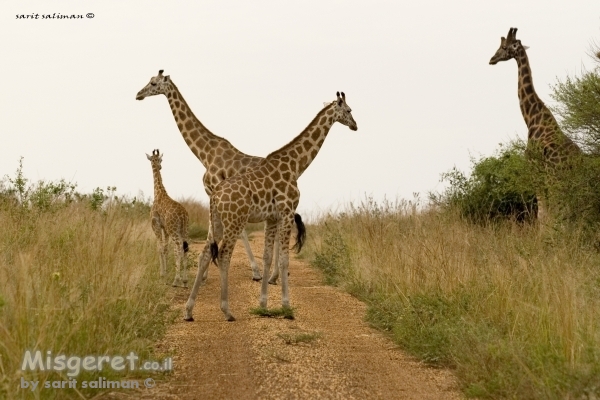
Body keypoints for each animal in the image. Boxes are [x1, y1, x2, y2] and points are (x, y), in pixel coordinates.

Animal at [147, 148, 190, 286]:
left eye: (160, 160)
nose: (160, 166)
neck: (158, 193)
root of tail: (183, 215)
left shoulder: (155, 225)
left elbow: (160, 248)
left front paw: (161, 274)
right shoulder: (165, 228)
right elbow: (165, 248)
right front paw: (165, 272)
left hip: (174, 231)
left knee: (178, 248)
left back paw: (177, 280)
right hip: (185, 230)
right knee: (185, 248)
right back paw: (184, 279)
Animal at [185, 91, 358, 322]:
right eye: (348, 110)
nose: (355, 125)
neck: (295, 165)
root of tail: (215, 196)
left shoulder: (272, 217)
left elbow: (268, 256)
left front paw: (264, 305)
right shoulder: (287, 212)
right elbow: (284, 259)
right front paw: (286, 306)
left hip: (217, 222)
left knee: (205, 254)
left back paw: (188, 311)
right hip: (234, 221)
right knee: (223, 255)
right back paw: (227, 310)